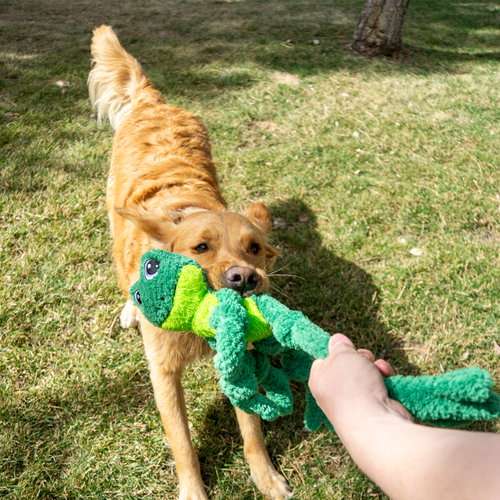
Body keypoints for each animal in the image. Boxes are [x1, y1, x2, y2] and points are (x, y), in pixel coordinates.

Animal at [89, 26, 292, 500]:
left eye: (254, 248)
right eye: (200, 248)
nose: (245, 278)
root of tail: (152, 100)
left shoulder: (239, 356)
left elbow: (251, 429)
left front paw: (265, 476)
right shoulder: (163, 372)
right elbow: (181, 441)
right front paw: (194, 490)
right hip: (112, 216)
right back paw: (129, 308)